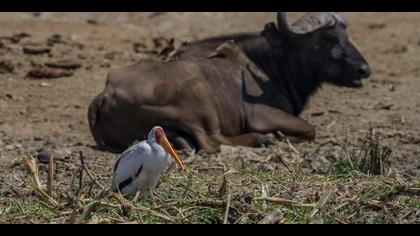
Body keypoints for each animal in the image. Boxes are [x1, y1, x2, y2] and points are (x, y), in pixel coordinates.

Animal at [87, 12, 370, 153]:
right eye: (327, 39)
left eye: (346, 36)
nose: (364, 69)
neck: (267, 64)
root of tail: (106, 92)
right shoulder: (262, 116)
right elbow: (310, 129)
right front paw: (277, 136)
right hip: (200, 99)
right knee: (211, 142)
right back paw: (263, 139)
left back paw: (180, 142)